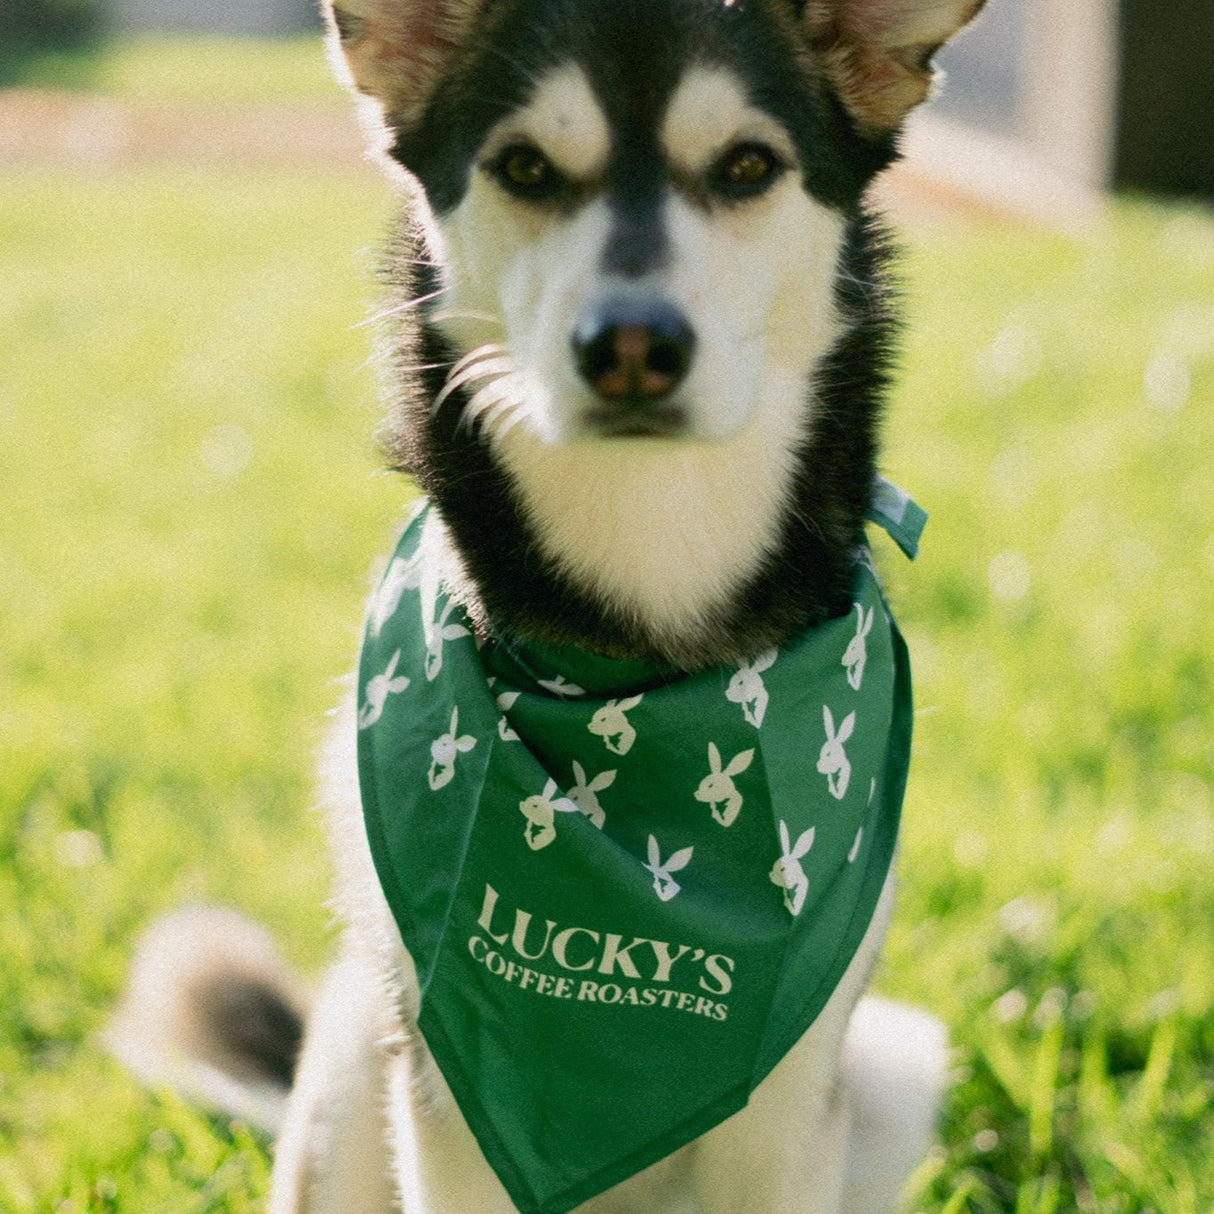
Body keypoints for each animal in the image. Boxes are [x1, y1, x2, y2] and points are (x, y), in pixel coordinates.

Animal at [111, 0, 985, 1209]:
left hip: (893, 1066)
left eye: (747, 166)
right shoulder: (439, 1094)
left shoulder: (793, 1102)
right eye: (525, 166)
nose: (633, 345)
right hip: (353, 1057)